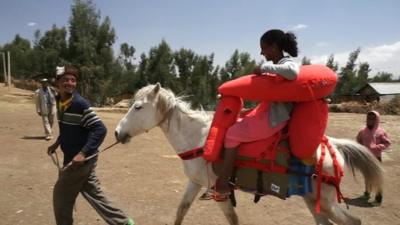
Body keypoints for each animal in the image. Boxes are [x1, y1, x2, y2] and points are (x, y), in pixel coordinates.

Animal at [114, 83, 382, 224]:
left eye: (137, 107)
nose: (117, 133)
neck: (199, 138)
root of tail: (332, 144)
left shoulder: (219, 192)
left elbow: (233, 219)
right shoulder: (196, 183)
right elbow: (182, 210)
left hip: (325, 201)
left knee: (353, 222)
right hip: (313, 199)